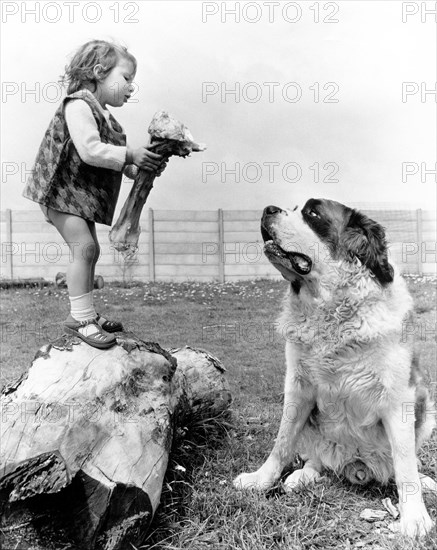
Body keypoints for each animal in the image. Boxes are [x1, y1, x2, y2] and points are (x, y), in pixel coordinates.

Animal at [233, 199, 434, 540]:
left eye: (312, 213)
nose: (268, 208)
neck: (330, 308)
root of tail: (357, 466)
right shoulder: (297, 390)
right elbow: (281, 443)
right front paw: (260, 481)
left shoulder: (399, 397)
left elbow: (405, 461)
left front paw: (415, 518)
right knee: (318, 460)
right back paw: (302, 476)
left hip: (427, 408)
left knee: (400, 463)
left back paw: (423, 481)